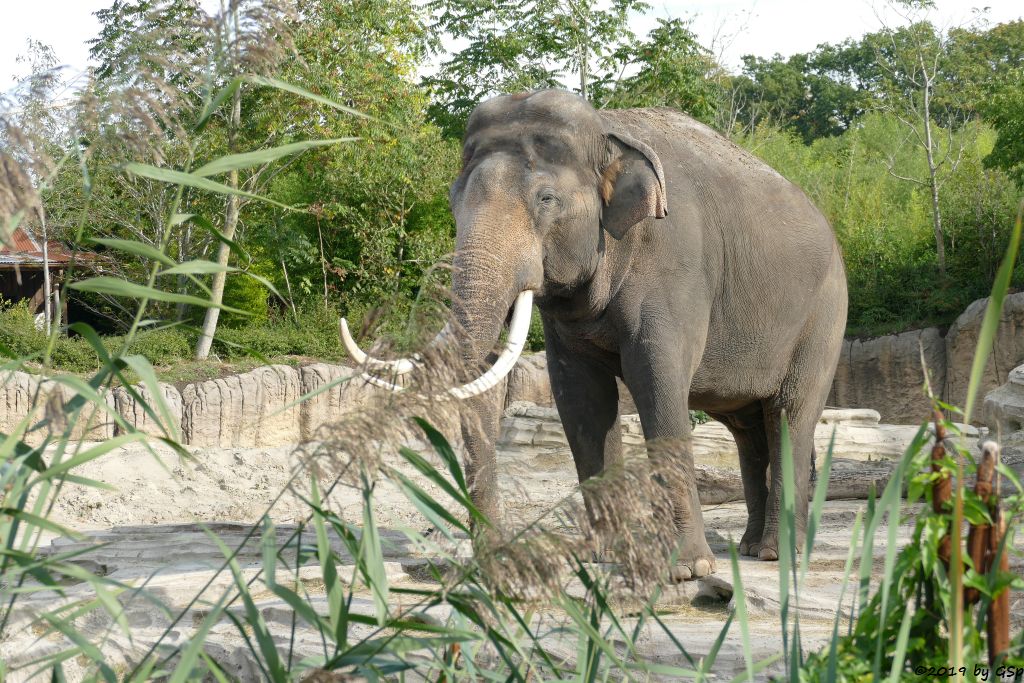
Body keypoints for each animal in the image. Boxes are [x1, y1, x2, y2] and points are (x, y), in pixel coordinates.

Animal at [344, 89, 847, 581]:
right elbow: (579, 396)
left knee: (789, 414)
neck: (607, 131)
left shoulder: (676, 265)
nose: (493, 559)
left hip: (824, 316)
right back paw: (748, 548)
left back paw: (777, 553)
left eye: (546, 199)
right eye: (452, 200)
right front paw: (605, 556)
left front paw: (687, 568)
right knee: (748, 429)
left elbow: (657, 381)